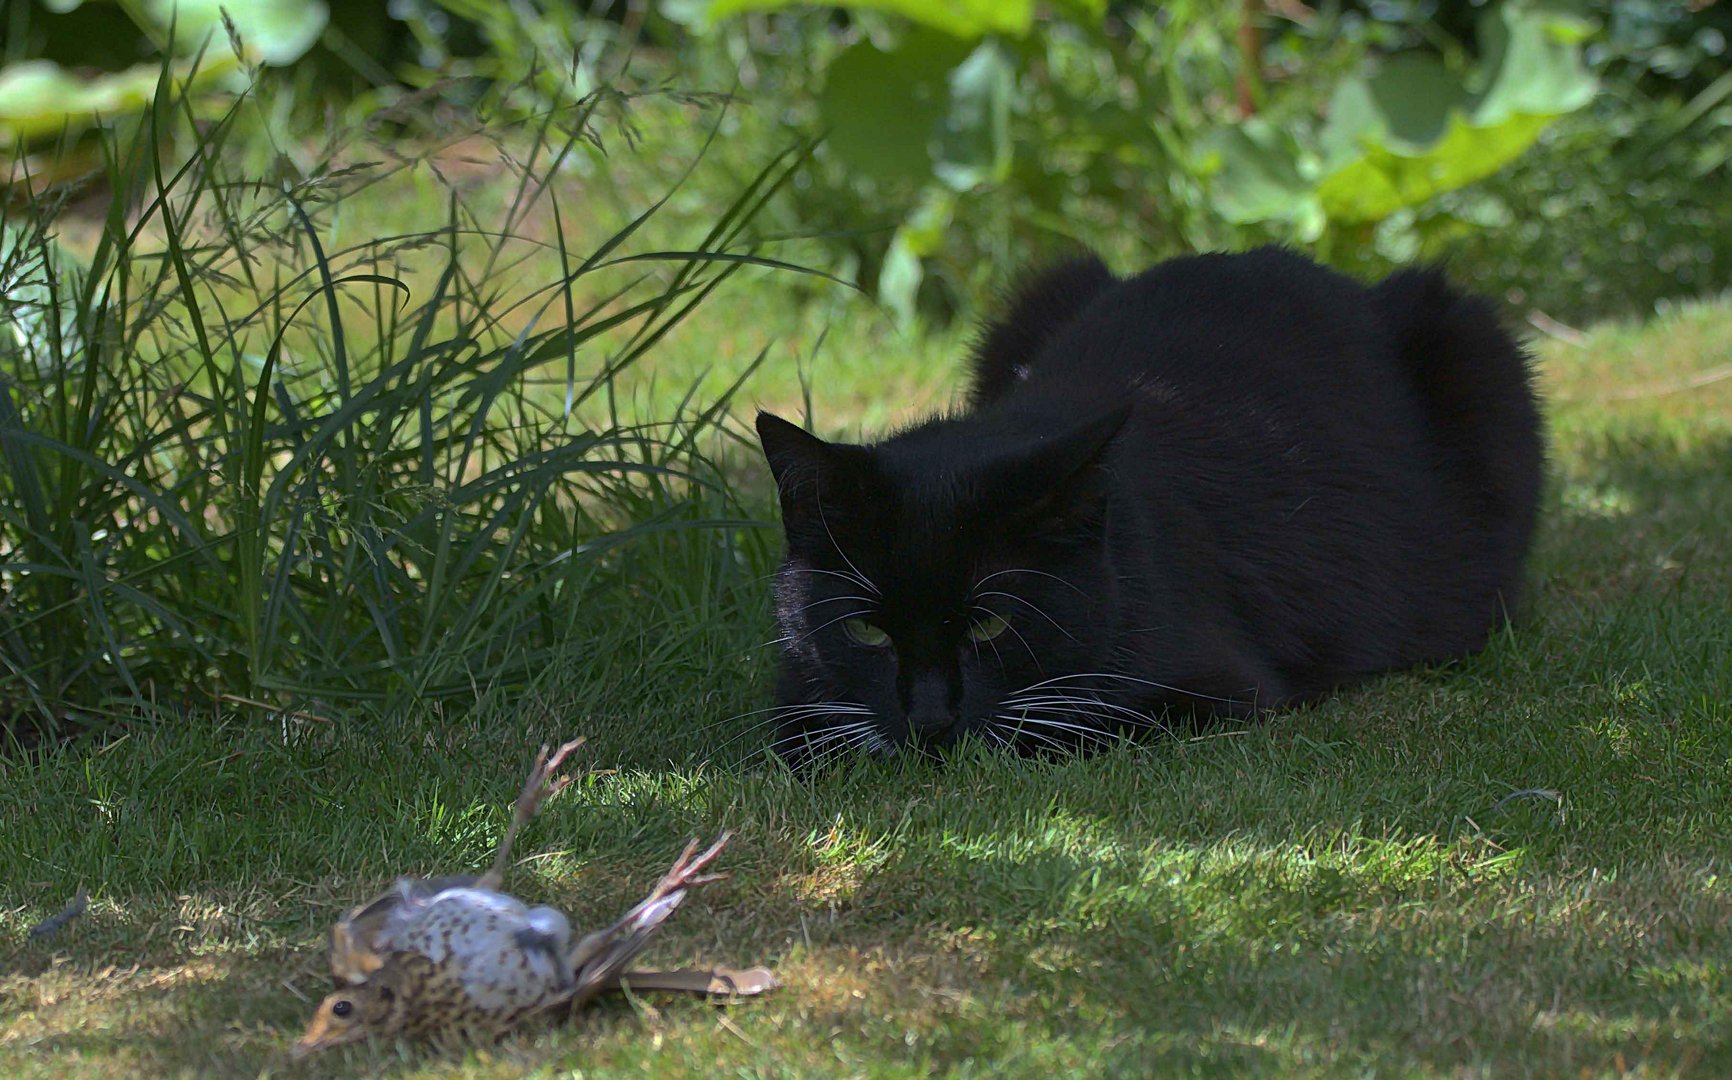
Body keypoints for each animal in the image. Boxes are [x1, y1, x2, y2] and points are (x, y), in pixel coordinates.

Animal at [758, 249, 1544, 765]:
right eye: (866, 630)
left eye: (990, 624)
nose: (928, 720)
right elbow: (800, 723)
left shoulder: (1211, 691)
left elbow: (1075, 720)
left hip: (1479, 345)